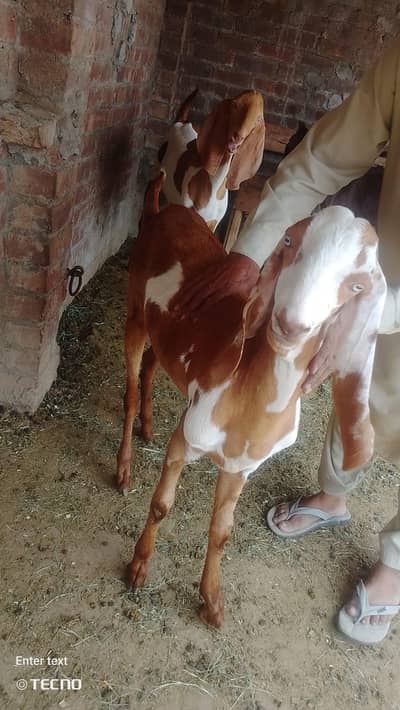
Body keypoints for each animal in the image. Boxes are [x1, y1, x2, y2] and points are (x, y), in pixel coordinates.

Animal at [158, 89, 266, 231]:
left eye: (258, 119)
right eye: (235, 105)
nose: (238, 137)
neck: (214, 185)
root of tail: (182, 122)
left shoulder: (211, 224)